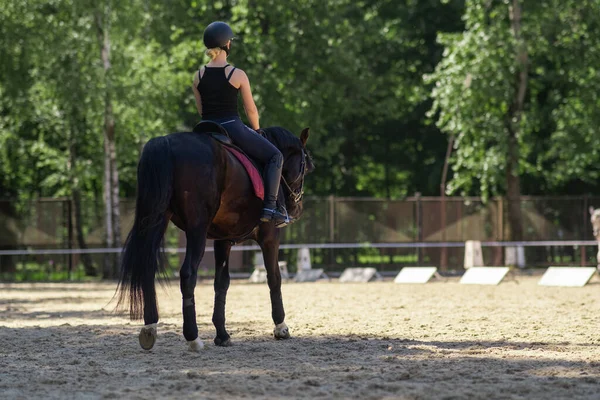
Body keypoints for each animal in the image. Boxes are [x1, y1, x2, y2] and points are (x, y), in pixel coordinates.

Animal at [116, 124, 314, 350]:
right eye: (305, 168)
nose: (296, 208)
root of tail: (165, 142)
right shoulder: (270, 237)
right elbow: (274, 278)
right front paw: (281, 327)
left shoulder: (223, 240)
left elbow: (221, 283)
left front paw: (222, 334)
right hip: (197, 229)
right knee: (188, 274)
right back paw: (193, 337)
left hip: (157, 219)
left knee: (148, 268)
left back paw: (150, 328)